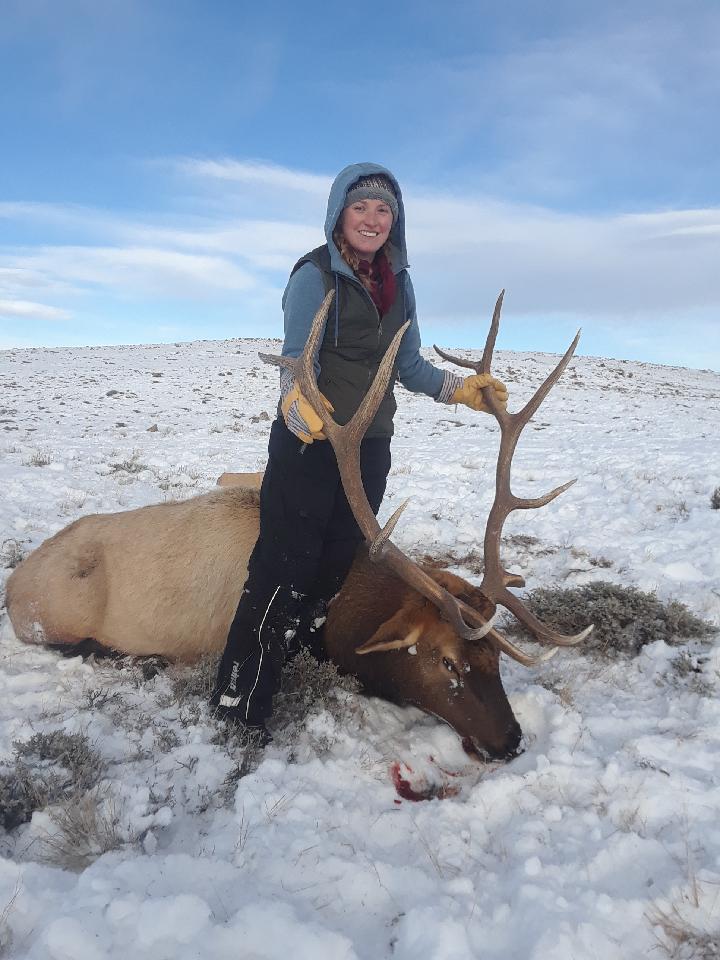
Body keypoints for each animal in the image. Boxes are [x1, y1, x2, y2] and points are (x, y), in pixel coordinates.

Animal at [5, 291, 592, 761]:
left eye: (496, 659)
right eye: (447, 661)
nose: (510, 741)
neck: (333, 613)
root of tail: (12, 585)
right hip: (58, 617)